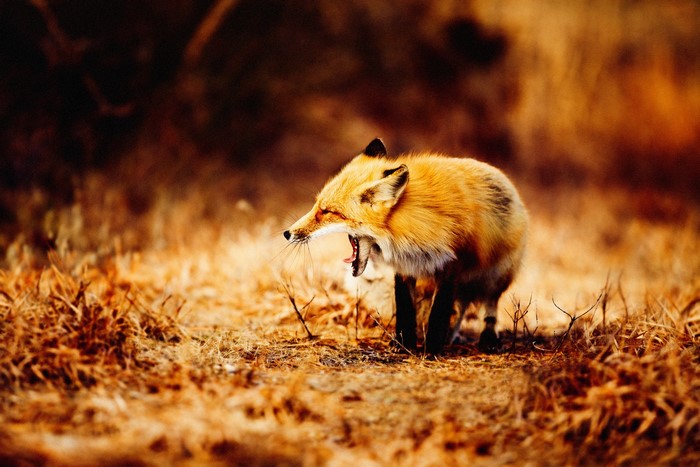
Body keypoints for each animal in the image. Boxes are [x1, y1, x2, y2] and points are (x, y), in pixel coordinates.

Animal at [283, 138, 528, 354]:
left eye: (327, 212)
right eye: (318, 206)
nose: (287, 233)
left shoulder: (451, 267)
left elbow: (438, 312)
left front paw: (431, 350)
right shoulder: (405, 267)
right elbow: (405, 309)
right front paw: (404, 345)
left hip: (496, 275)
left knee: (489, 305)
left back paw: (487, 338)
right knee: (461, 306)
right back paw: (451, 336)